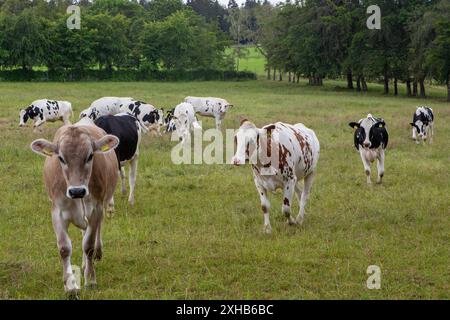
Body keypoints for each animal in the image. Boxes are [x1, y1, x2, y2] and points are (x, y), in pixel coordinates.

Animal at [30, 120, 120, 298]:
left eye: (90, 156)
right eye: (61, 158)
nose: (77, 191)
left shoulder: (96, 210)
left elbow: (89, 246)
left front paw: (90, 280)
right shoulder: (57, 212)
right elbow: (64, 249)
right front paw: (70, 286)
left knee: (96, 233)